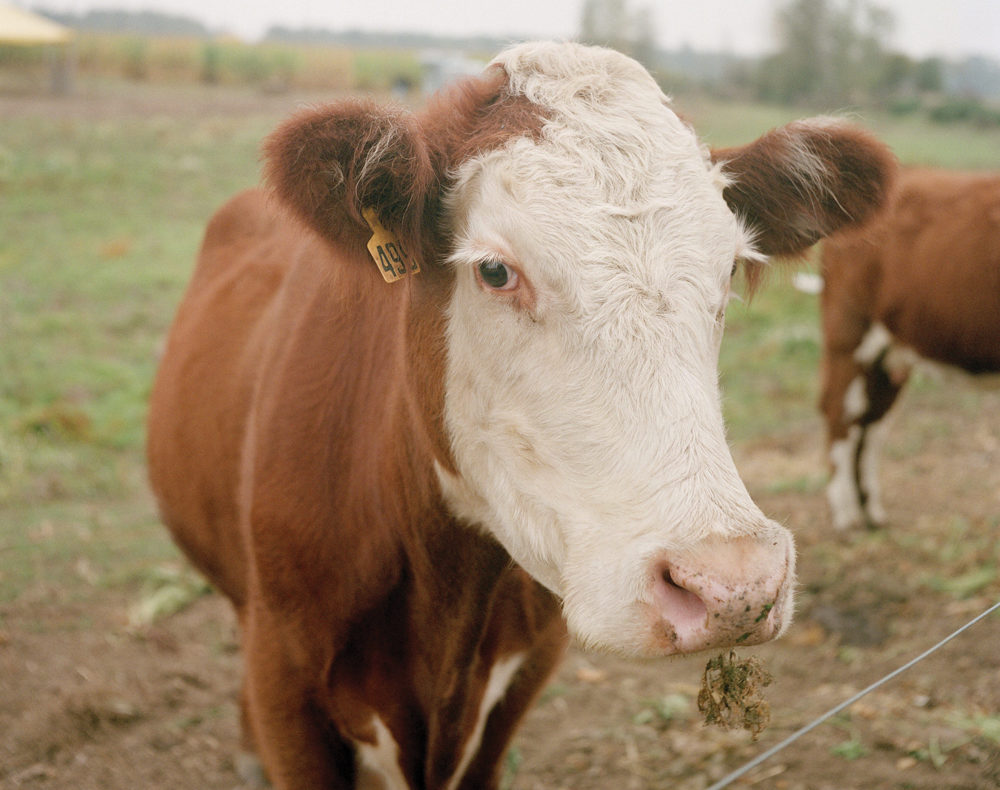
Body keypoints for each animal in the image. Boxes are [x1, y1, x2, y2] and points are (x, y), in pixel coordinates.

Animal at [819, 168, 1000, 531]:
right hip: (849, 333)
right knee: (840, 414)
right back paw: (846, 514)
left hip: (888, 354)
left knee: (872, 423)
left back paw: (871, 511)